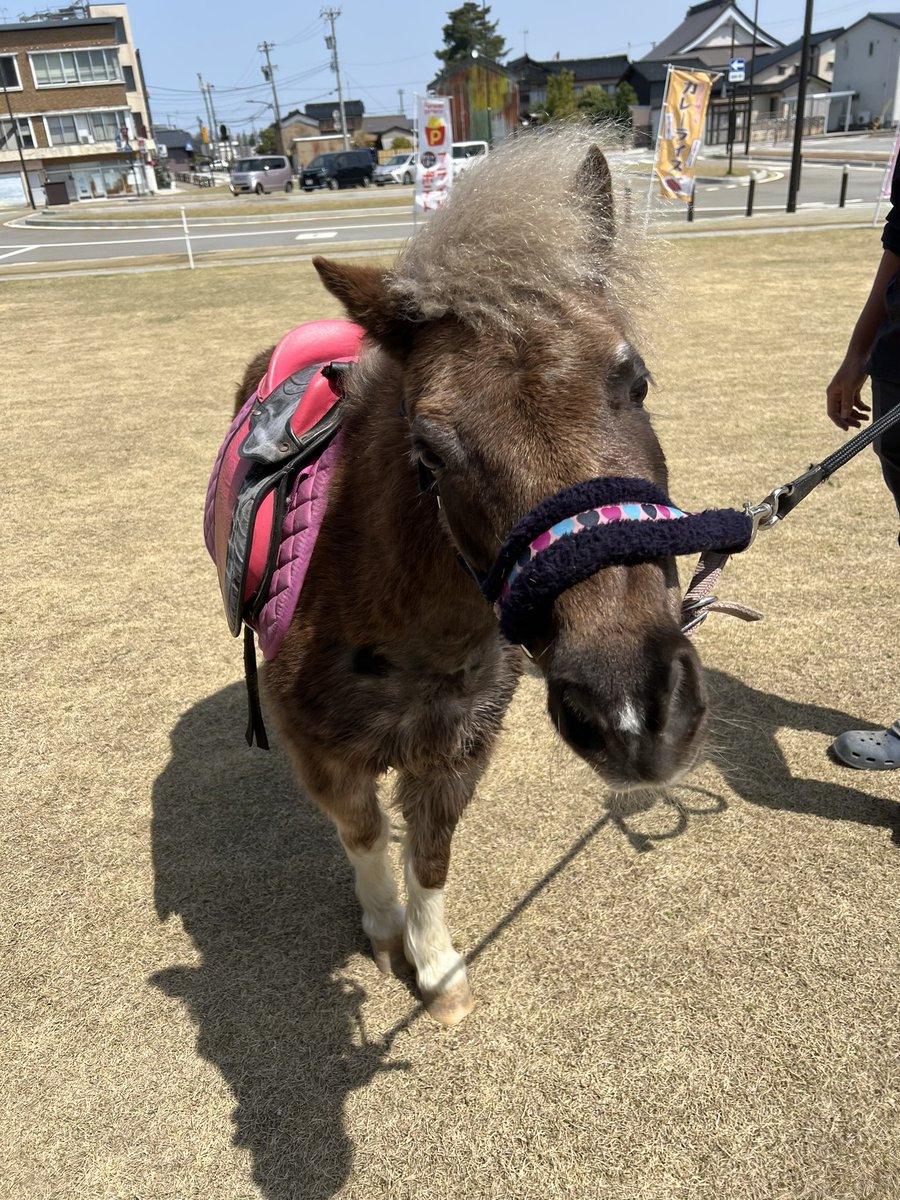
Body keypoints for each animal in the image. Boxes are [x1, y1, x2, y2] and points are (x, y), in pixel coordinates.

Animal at [234, 133, 710, 1032]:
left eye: (635, 380)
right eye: (429, 447)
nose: (631, 709)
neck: (405, 625)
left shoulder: (460, 751)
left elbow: (431, 855)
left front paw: (437, 966)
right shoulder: (322, 753)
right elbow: (364, 837)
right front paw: (385, 931)